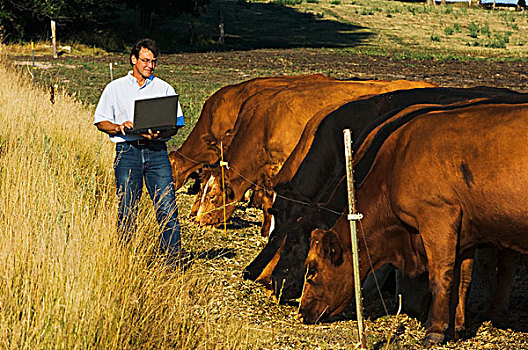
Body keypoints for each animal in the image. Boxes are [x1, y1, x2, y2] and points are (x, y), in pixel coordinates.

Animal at [300, 100, 528, 344]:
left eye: (312, 269)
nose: (302, 311)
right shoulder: (465, 234)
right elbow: (462, 279)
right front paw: (456, 327)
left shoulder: (436, 217)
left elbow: (440, 275)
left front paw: (434, 330)